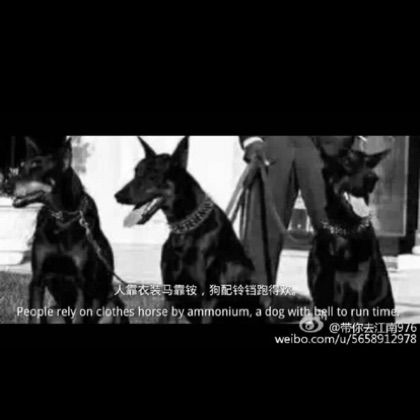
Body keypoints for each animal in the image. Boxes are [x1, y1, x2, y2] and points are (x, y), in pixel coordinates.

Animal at [12, 136, 128, 324]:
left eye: (37, 167)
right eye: (21, 167)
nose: (5, 184)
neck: (62, 218)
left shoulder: (82, 284)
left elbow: (79, 317)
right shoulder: (37, 279)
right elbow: (34, 315)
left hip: (113, 306)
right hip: (52, 311)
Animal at [115, 137, 268, 324]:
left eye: (153, 175)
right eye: (136, 172)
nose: (118, 196)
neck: (186, 228)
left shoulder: (208, 300)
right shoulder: (171, 294)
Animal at [308, 145, 395, 323]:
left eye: (369, 163)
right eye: (347, 161)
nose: (372, 178)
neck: (345, 228)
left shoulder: (359, 295)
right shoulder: (321, 297)